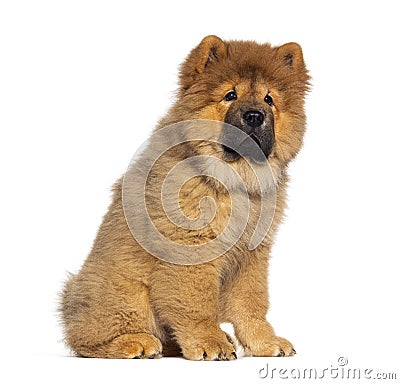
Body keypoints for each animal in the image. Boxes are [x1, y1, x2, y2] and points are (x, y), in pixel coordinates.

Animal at [60, 35, 310, 360]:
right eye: (230, 95)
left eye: (269, 100)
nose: (254, 116)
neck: (234, 178)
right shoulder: (192, 246)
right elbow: (198, 303)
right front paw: (210, 343)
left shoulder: (252, 255)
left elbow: (251, 303)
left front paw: (264, 342)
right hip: (125, 290)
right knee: (84, 338)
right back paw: (137, 343)